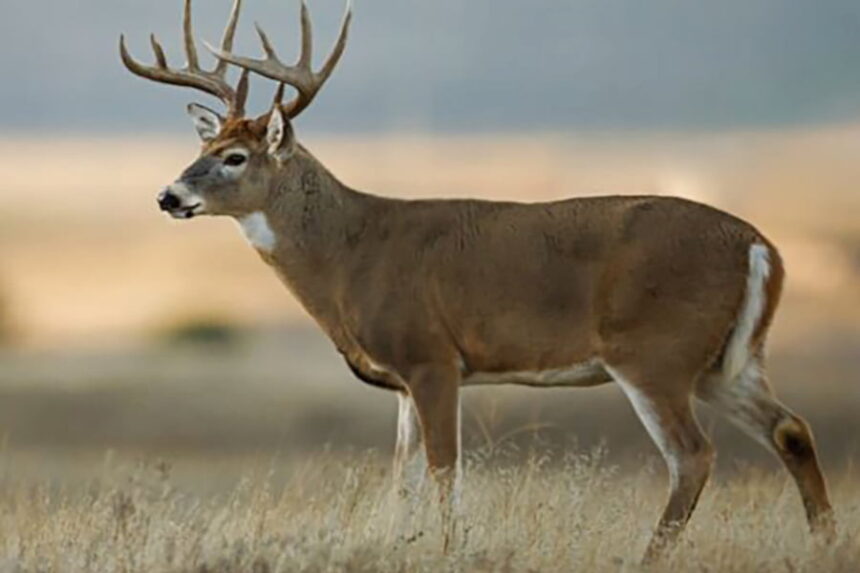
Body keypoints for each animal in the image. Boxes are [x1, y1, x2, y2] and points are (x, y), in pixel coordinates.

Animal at [120, 0, 835, 560]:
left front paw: (446, 548)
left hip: (654, 352)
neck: (351, 252)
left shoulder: (433, 356)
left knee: (693, 454)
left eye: (236, 158)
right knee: (791, 429)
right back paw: (824, 544)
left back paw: (650, 557)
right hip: (724, 361)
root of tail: (759, 245)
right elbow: (402, 477)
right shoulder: (403, 379)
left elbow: (444, 471)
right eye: (204, 148)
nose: (167, 195)